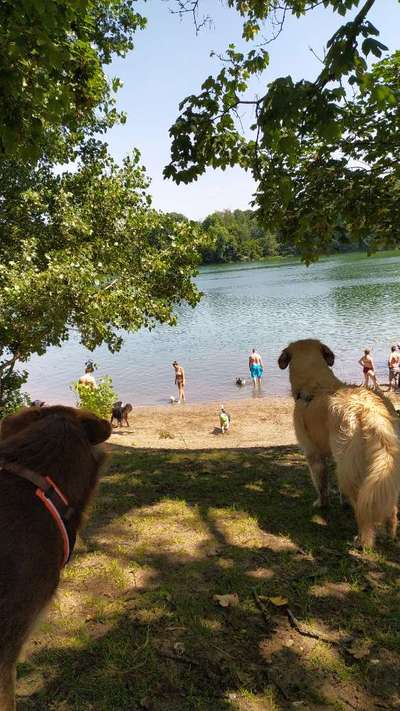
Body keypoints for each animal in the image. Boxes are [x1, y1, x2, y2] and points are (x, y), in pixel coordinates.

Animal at [278, 340, 400, 552]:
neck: (314, 384)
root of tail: (369, 411)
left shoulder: (313, 455)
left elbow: (321, 486)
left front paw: (321, 504)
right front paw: (343, 503)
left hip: (349, 470)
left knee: (363, 509)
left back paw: (363, 541)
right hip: (379, 466)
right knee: (389, 504)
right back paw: (390, 533)